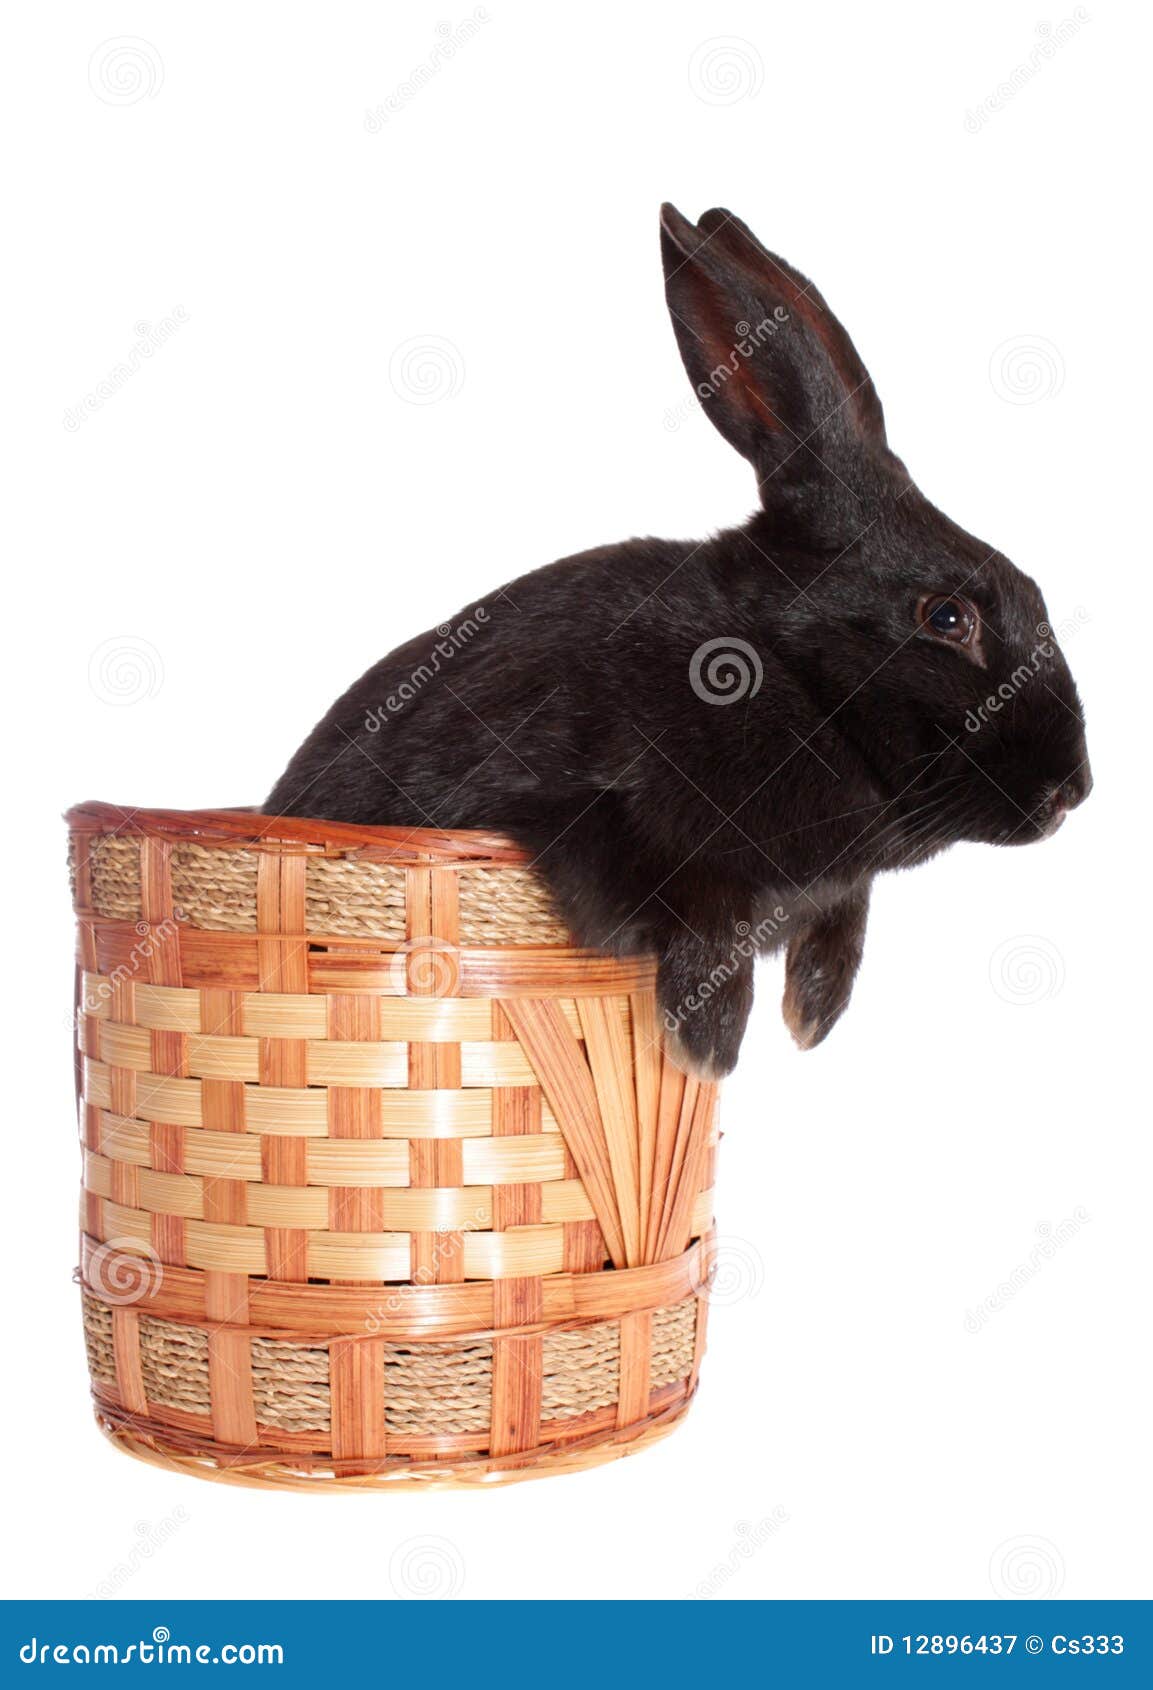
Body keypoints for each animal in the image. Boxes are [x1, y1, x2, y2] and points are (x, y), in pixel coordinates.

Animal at [267, 203, 1091, 1079]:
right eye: (946, 619)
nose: (1070, 793)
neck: (787, 670)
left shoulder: (834, 886)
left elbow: (844, 916)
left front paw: (812, 1013)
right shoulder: (592, 808)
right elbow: (700, 913)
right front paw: (709, 1045)